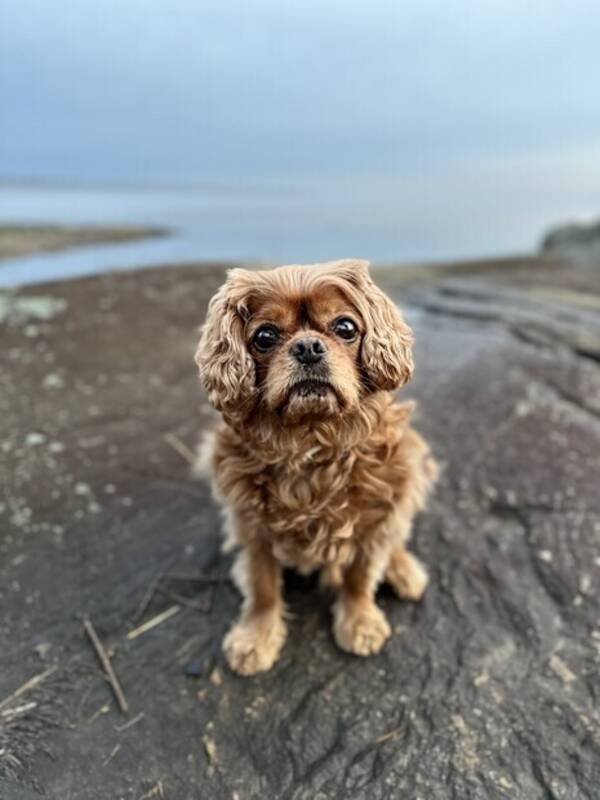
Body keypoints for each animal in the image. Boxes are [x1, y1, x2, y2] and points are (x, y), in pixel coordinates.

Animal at [196, 260, 436, 672]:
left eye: (345, 328)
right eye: (264, 336)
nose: (308, 346)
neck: (311, 442)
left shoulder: (375, 517)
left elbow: (360, 576)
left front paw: (360, 623)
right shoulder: (252, 526)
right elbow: (263, 586)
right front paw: (255, 638)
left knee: (395, 538)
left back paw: (403, 569)